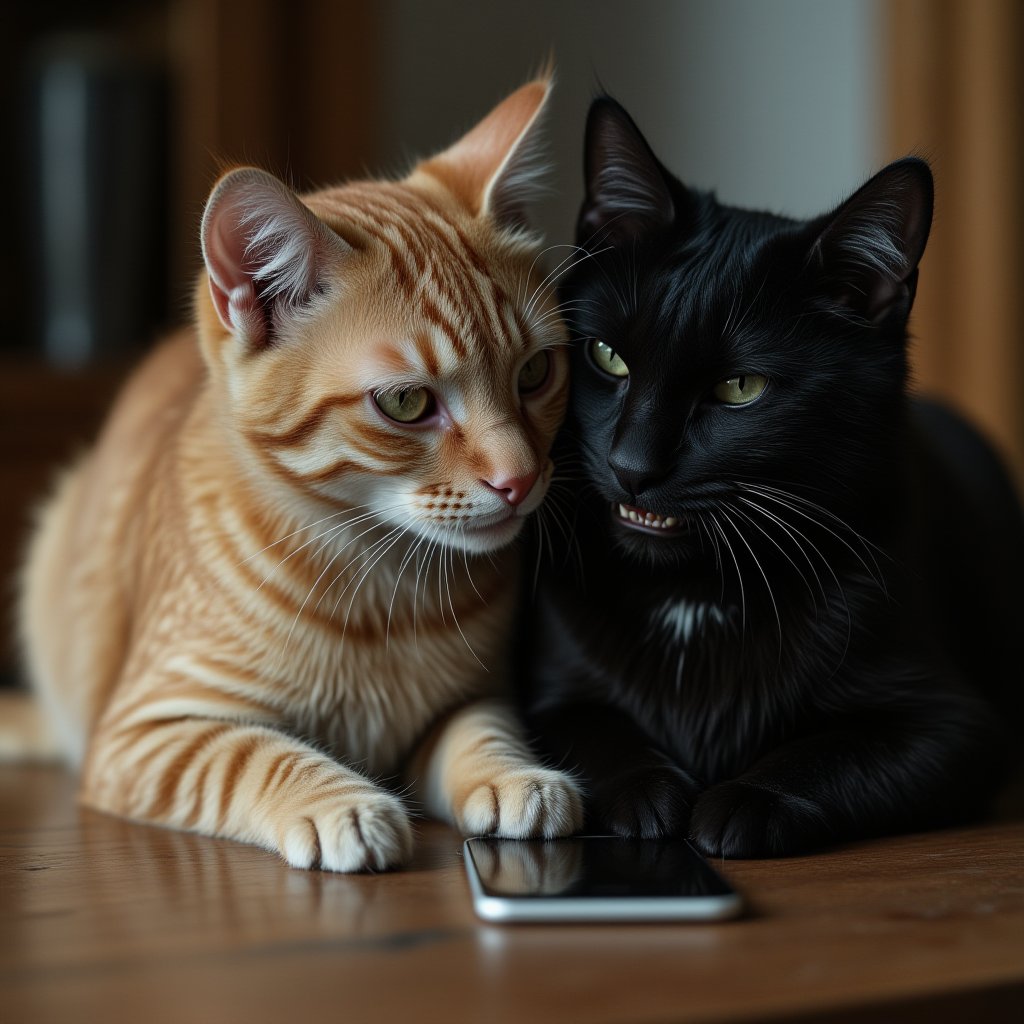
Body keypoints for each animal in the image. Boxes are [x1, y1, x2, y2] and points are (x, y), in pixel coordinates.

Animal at [16, 75, 581, 868]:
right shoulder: (143, 732)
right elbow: (252, 756)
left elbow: (483, 731)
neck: (379, 591)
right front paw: (342, 803)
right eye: (406, 402)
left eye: (534, 373)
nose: (520, 479)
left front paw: (514, 774)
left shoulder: (476, 696)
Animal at [520, 99, 1024, 860]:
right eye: (607, 356)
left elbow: (834, 753)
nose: (632, 466)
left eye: (740, 389)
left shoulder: (957, 726)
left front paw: (748, 800)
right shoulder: (546, 696)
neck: (694, 593)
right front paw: (646, 791)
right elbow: (590, 730)